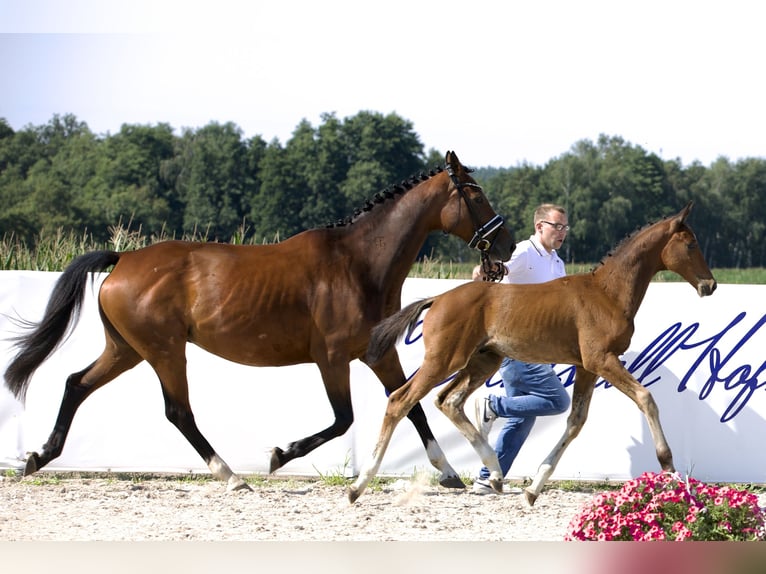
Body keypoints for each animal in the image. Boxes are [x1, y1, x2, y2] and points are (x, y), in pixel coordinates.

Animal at [4, 152, 516, 490]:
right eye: (475, 193)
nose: (506, 245)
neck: (359, 263)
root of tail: (123, 259)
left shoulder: (378, 353)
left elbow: (408, 404)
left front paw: (447, 472)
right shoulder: (332, 358)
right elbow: (345, 418)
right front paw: (278, 455)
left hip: (126, 349)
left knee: (76, 383)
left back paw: (38, 457)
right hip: (164, 351)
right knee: (177, 411)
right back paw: (231, 476)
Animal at [352, 202, 716, 504]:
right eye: (691, 244)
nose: (710, 285)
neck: (606, 293)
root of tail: (438, 298)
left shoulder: (587, 366)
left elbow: (575, 421)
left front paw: (534, 487)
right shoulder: (602, 359)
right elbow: (645, 398)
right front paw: (668, 466)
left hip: (483, 360)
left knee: (448, 401)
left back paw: (495, 473)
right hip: (444, 360)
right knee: (400, 400)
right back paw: (359, 485)